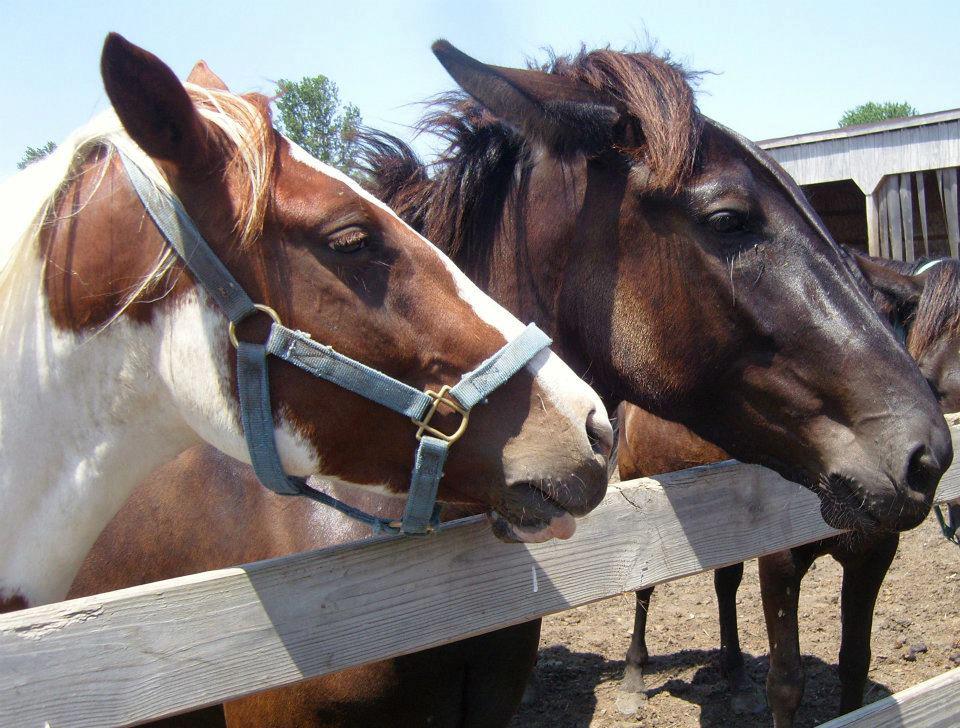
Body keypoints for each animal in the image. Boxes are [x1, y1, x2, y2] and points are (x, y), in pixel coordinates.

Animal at [616, 252, 960, 728]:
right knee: (644, 588)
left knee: (726, 583)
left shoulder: (872, 556)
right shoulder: (780, 561)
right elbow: (786, 682)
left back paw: (736, 678)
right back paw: (633, 677)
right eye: (932, 383)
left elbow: (855, 661)